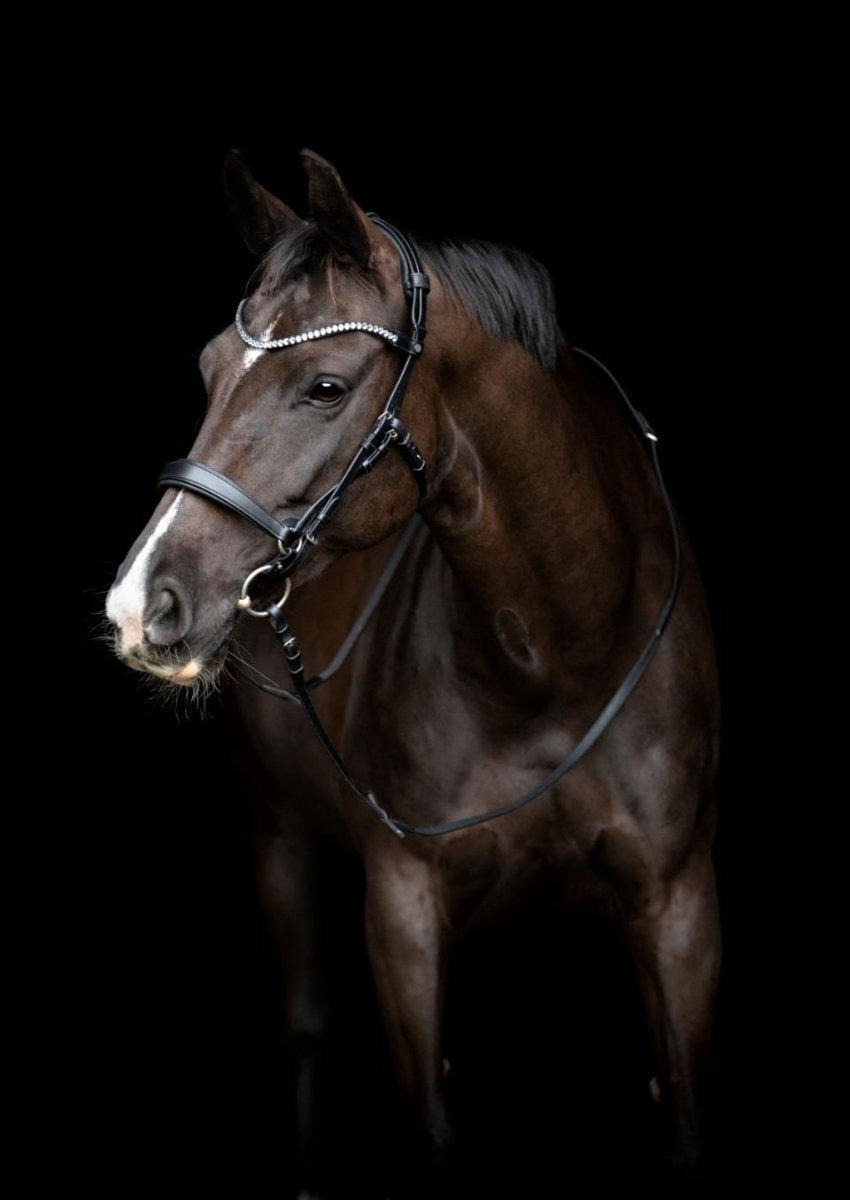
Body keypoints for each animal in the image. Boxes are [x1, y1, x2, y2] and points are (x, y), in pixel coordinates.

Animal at [105, 148, 720, 1195]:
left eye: (324, 386)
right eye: (208, 370)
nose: (141, 602)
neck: (553, 662)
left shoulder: (677, 908)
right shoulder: (403, 913)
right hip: (278, 835)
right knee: (305, 1030)